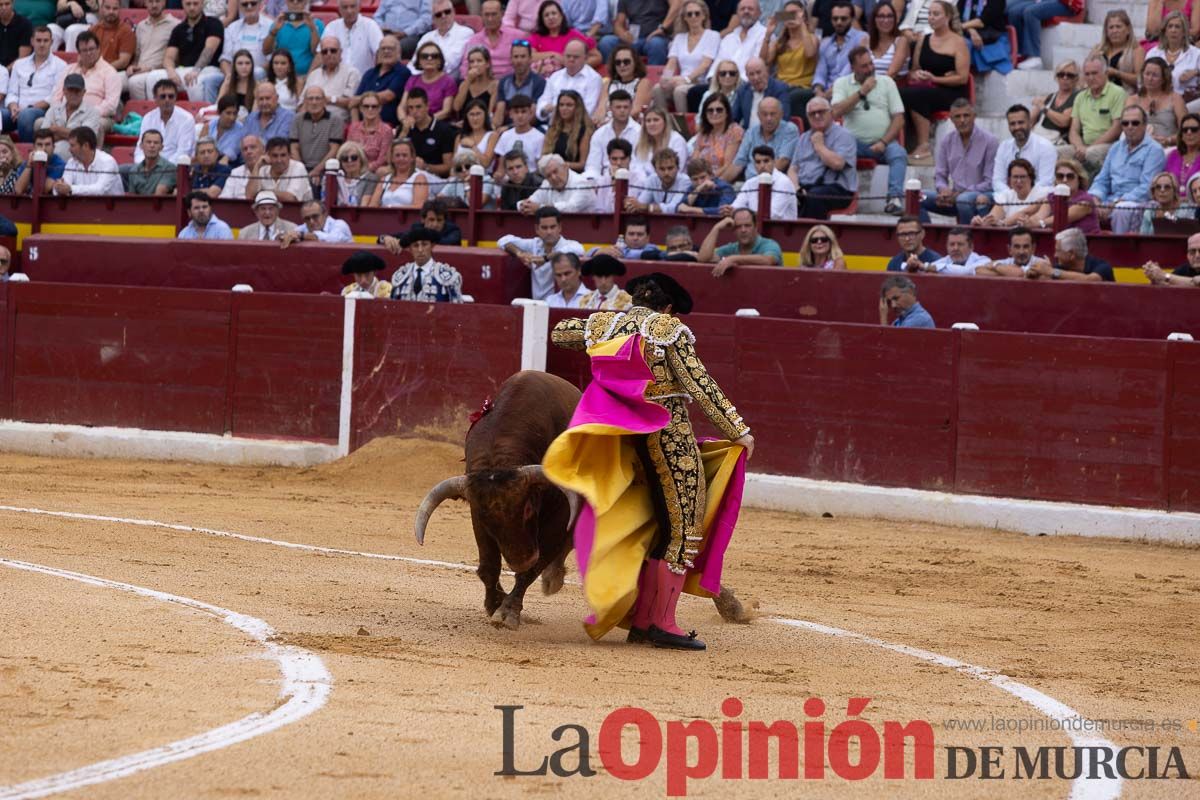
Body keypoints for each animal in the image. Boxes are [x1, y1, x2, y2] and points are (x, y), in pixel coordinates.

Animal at [412, 371, 580, 628]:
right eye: (485, 517)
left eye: (528, 509)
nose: (521, 560)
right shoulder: (477, 520)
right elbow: (489, 565)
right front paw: (494, 603)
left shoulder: (560, 516)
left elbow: (532, 569)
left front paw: (508, 611)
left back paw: (553, 578)